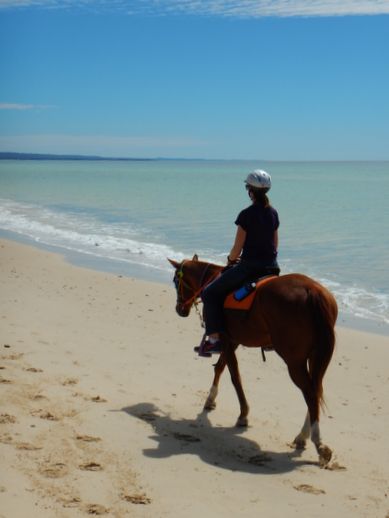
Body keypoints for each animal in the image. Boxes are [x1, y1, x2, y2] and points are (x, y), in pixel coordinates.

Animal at [168, 256, 338, 468]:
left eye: (176, 280)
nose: (179, 309)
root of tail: (311, 291)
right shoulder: (232, 341)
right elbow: (220, 368)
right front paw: (211, 399)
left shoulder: (226, 339)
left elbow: (234, 376)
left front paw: (243, 414)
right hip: (316, 357)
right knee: (316, 390)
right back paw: (303, 436)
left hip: (294, 361)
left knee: (310, 393)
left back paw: (318, 443)